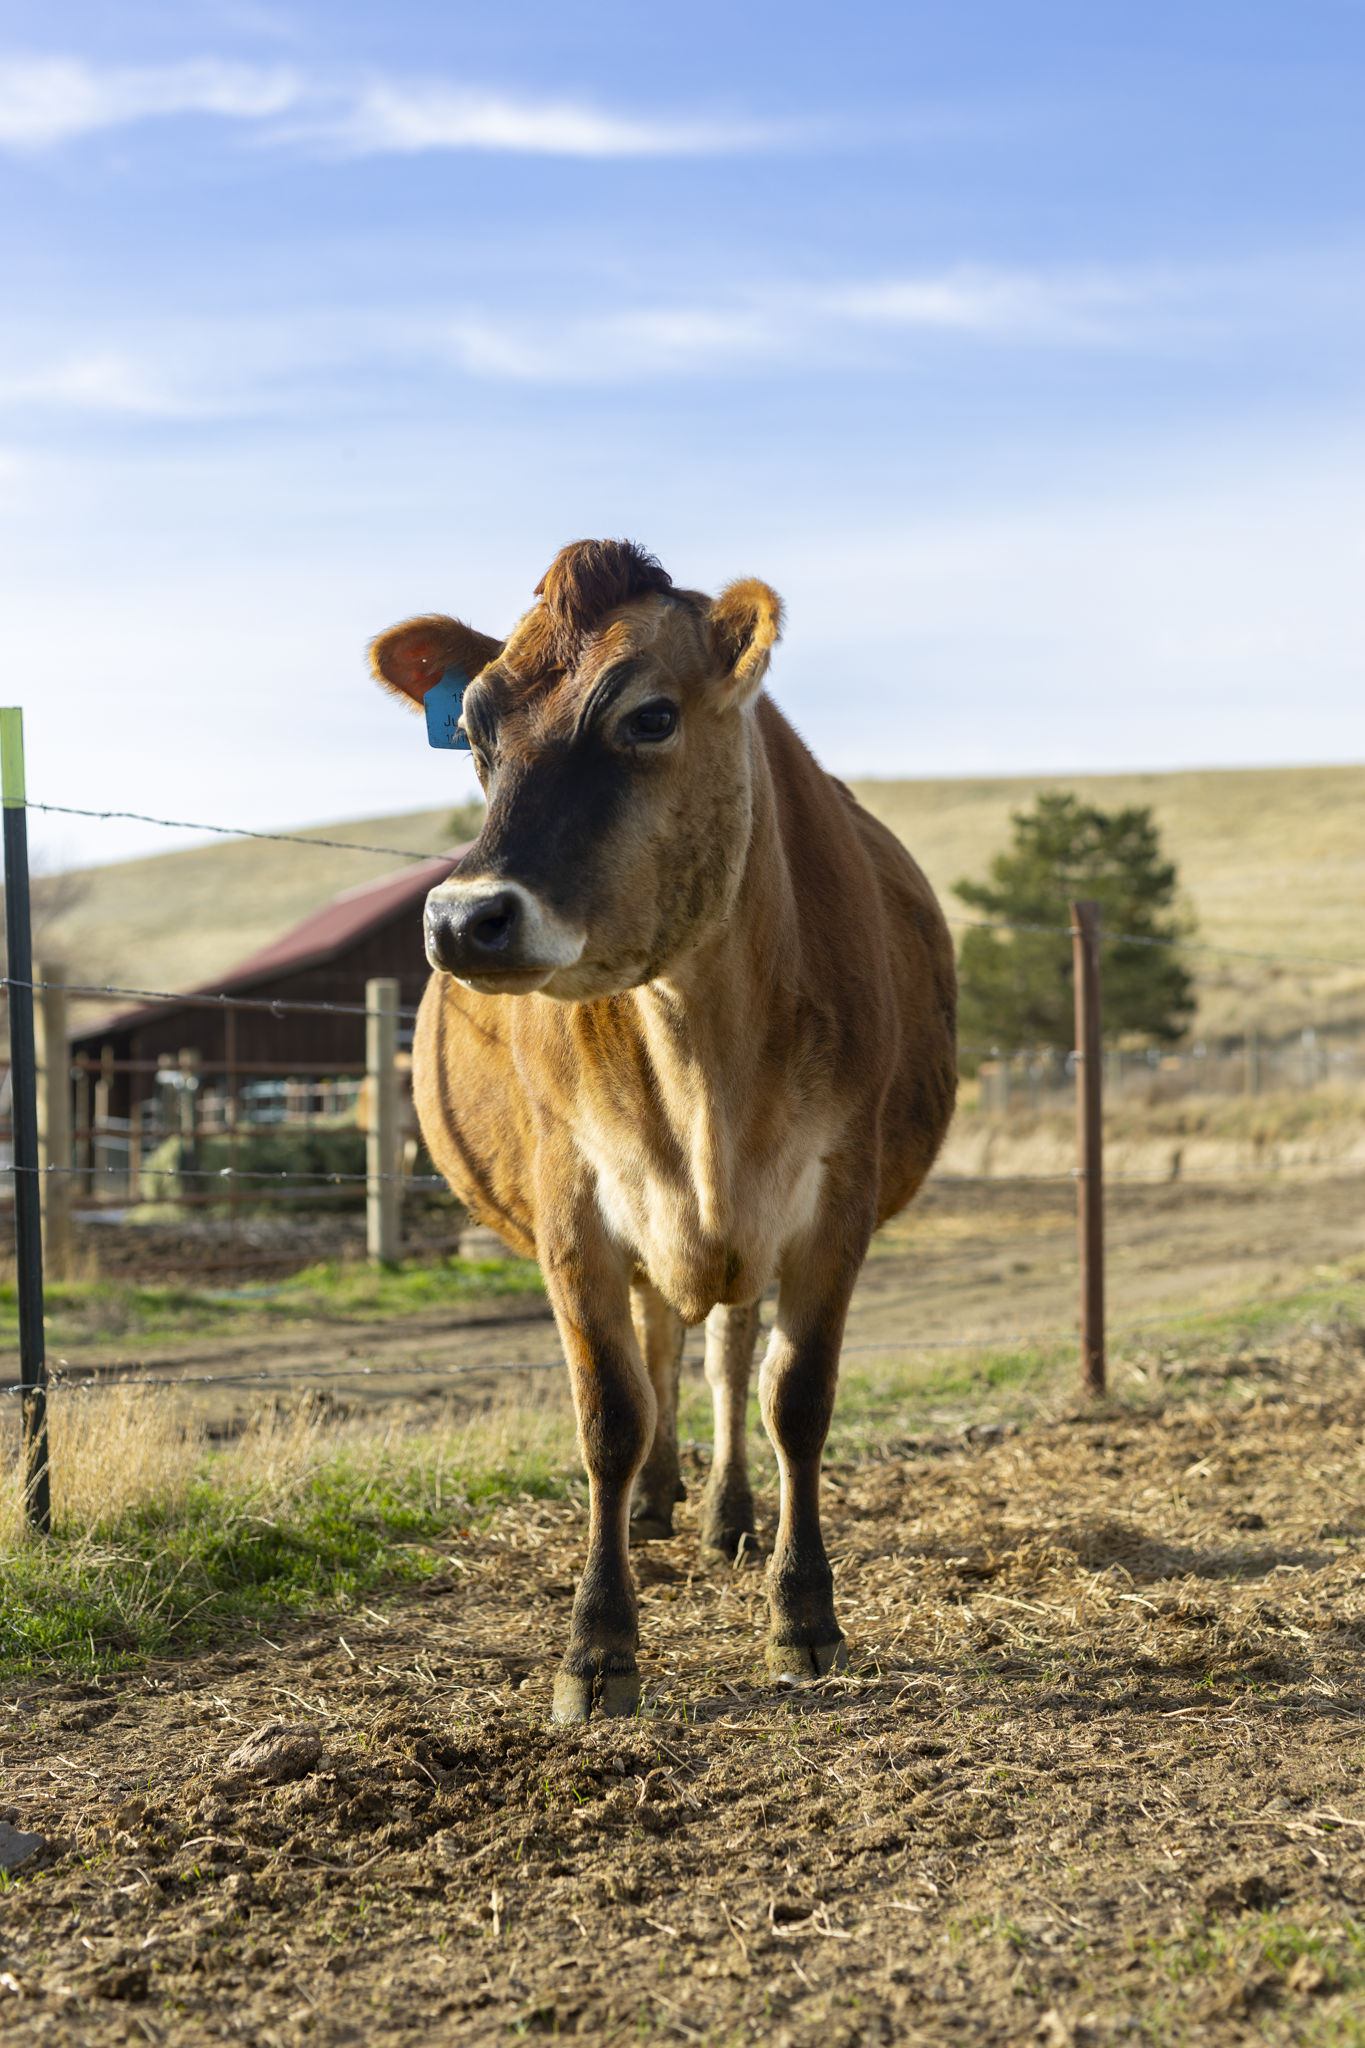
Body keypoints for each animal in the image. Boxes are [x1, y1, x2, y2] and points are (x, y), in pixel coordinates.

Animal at [370, 539, 956, 1721]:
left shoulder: (834, 1195)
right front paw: (597, 1645)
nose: (464, 919)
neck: (703, 1045)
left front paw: (802, 1616)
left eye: (648, 716)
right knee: (659, 1348)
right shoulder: (573, 1201)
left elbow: (794, 1400)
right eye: (477, 732)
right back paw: (655, 1501)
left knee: (726, 1355)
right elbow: (609, 1411)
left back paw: (727, 1513)